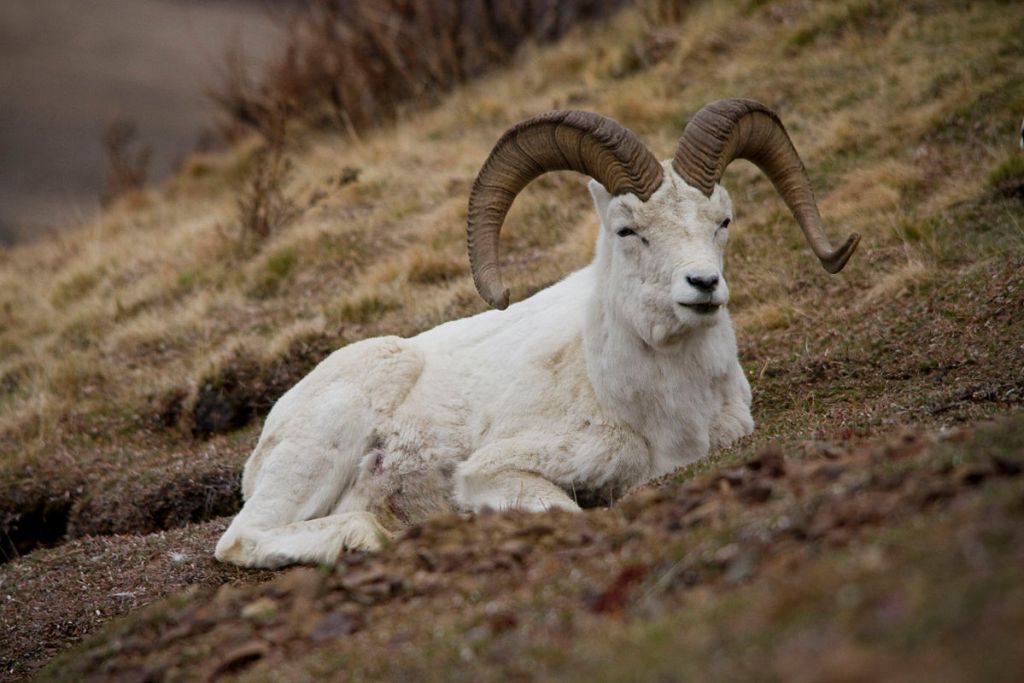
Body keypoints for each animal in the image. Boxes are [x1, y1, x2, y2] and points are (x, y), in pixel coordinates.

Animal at [216, 98, 856, 569]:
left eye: (722, 221)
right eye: (627, 230)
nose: (702, 285)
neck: (660, 411)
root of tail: (267, 436)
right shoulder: (495, 472)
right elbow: (566, 513)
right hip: (328, 437)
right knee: (243, 538)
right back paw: (368, 535)